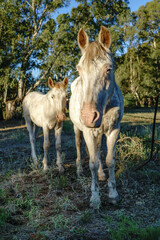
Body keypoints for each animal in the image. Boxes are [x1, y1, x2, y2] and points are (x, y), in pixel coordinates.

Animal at [69, 26, 124, 209]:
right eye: (79, 69)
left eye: (108, 69)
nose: (89, 116)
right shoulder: (88, 131)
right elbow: (92, 163)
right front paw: (95, 198)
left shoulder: (114, 129)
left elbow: (109, 160)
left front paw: (113, 194)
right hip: (78, 129)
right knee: (79, 146)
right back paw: (79, 169)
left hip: (99, 131)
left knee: (99, 151)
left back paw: (101, 175)